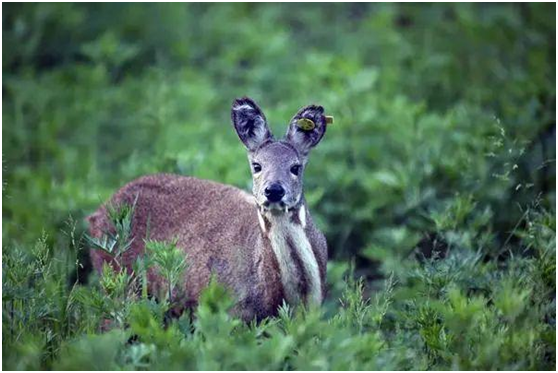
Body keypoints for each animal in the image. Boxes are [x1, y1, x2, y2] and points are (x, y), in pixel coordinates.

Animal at [87, 96, 332, 320]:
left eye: (296, 167)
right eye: (257, 166)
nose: (273, 190)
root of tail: (97, 213)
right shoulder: (233, 311)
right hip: (118, 280)